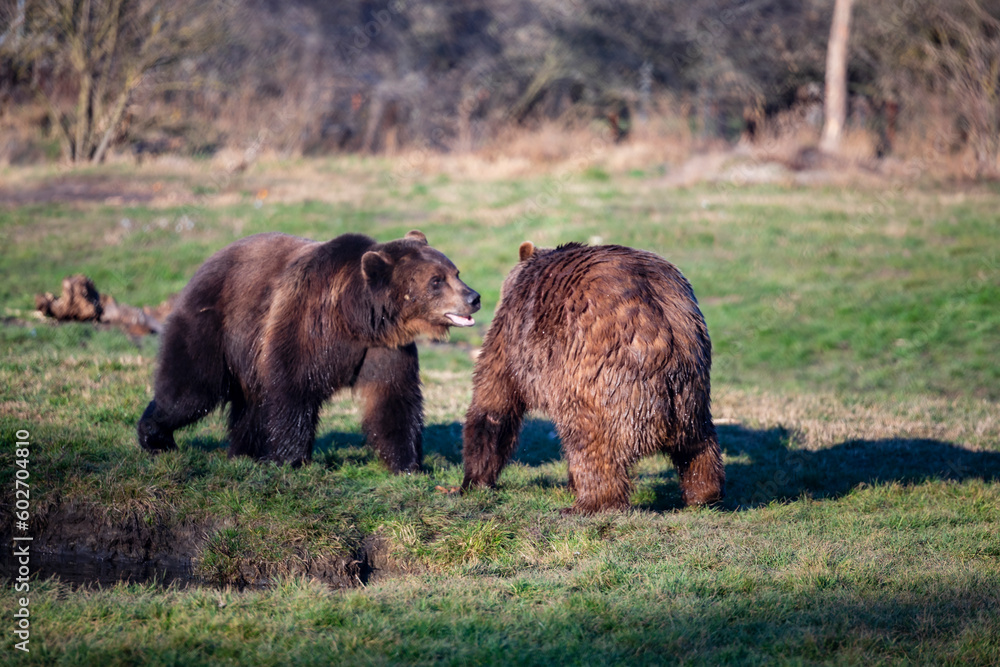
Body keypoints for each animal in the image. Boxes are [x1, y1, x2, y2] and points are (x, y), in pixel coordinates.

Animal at [138, 230, 480, 470]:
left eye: (456, 272)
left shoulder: (382, 348)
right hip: (214, 324)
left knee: (250, 402)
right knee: (192, 390)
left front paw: (408, 464)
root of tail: (206, 263)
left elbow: (392, 397)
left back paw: (244, 452)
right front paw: (290, 459)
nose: (474, 297)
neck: (355, 320)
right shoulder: (306, 324)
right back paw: (155, 436)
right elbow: (293, 389)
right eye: (436, 281)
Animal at [460, 243, 728, 516]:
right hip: (690, 391)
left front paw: (473, 480)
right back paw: (703, 494)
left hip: (599, 378)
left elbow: (495, 399)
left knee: (591, 444)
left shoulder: (514, 332)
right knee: (698, 444)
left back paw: (587, 504)